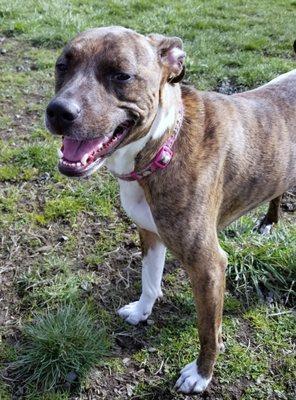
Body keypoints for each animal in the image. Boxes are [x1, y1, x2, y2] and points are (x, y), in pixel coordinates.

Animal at [45, 26, 296, 392]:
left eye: (121, 75)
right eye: (62, 66)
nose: (59, 111)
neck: (161, 146)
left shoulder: (208, 266)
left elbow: (209, 330)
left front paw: (201, 374)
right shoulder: (149, 233)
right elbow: (149, 280)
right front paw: (141, 312)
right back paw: (269, 221)